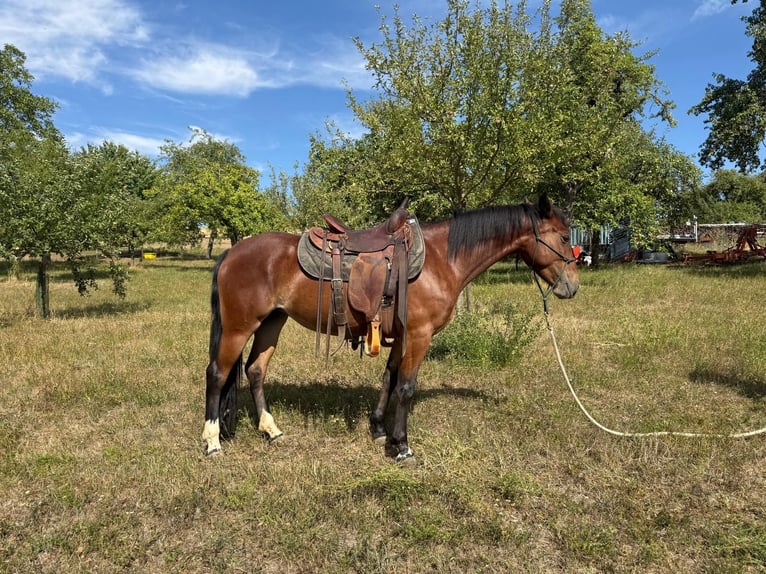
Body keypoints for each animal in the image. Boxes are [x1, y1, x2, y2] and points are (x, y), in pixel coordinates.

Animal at [203, 193, 579, 462]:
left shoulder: (400, 336)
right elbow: (406, 387)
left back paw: (271, 430)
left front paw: (378, 429)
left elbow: (389, 379)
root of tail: (231, 252)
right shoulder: (418, 335)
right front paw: (401, 446)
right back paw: (211, 441)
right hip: (238, 327)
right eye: (563, 237)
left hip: (271, 322)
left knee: (255, 370)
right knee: (217, 374)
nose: (572, 286)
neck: (441, 259)